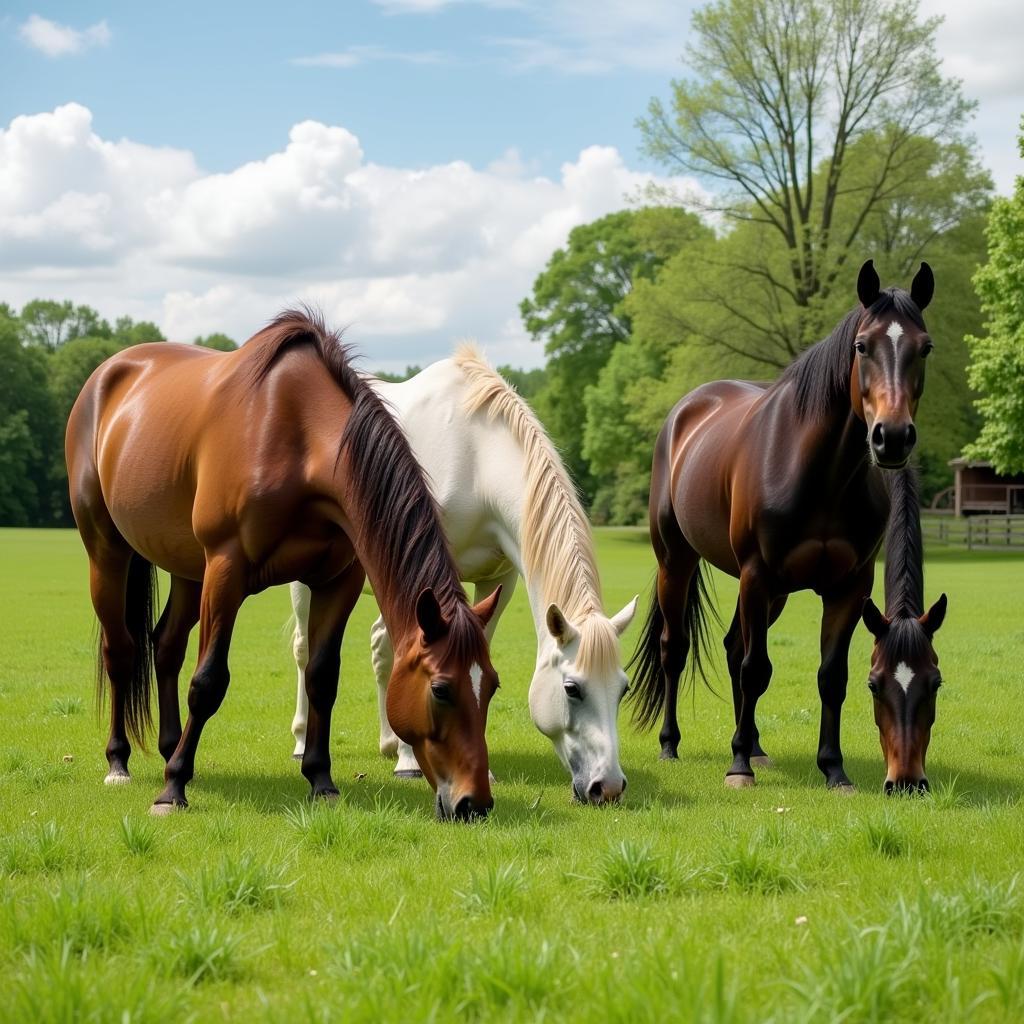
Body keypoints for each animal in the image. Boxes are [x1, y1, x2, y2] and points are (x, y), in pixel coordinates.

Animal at [66, 307, 501, 819]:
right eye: (440, 689)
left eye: (491, 686)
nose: (474, 802)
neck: (297, 436)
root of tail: (107, 374)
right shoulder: (226, 570)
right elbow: (208, 681)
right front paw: (172, 790)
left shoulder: (338, 580)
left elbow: (322, 677)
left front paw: (321, 779)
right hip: (107, 551)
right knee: (121, 649)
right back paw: (120, 762)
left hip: (186, 568)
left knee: (166, 645)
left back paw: (172, 748)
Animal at [288, 348, 634, 802]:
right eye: (572, 688)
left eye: (623, 688)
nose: (607, 787)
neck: (475, 457)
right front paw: (411, 762)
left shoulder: (499, 582)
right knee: (303, 650)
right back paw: (304, 742)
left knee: (380, 647)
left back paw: (390, 743)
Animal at [626, 260, 933, 786]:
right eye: (862, 345)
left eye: (925, 346)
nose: (892, 437)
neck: (820, 473)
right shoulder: (756, 574)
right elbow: (756, 668)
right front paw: (738, 769)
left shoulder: (849, 588)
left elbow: (830, 676)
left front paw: (833, 769)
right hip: (680, 563)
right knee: (677, 649)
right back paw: (674, 745)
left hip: (776, 593)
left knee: (733, 647)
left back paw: (754, 743)